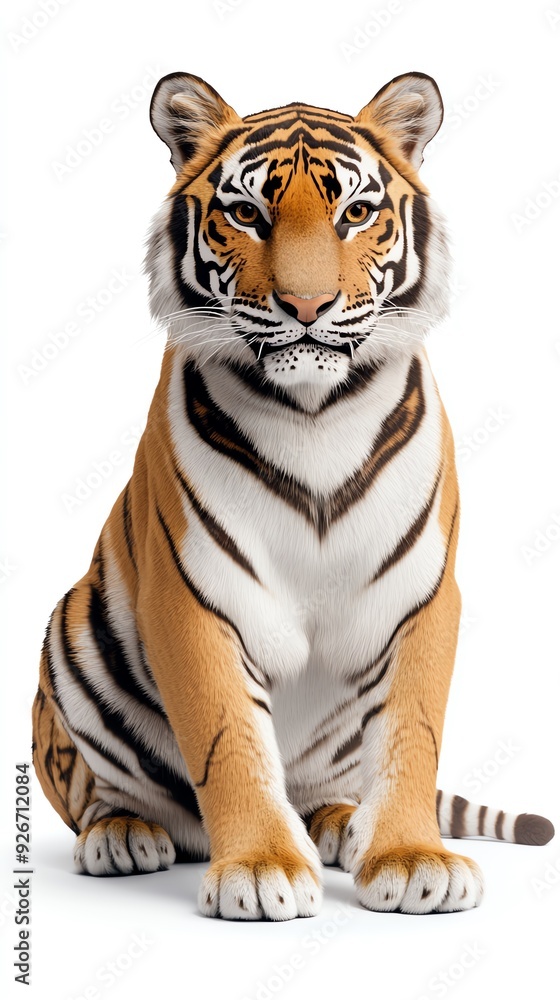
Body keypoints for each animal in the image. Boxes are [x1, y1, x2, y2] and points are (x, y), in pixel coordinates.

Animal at [32, 70, 554, 920]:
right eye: (248, 214)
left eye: (356, 213)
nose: (306, 308)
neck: (315, 414)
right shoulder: (192, 596)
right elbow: (227, 740)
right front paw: (259, 867)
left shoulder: (422, 594)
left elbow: (412, 733)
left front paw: (410, 858)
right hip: (70, 632)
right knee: (95, 789)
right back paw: (123, 834)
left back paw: (341, 824)